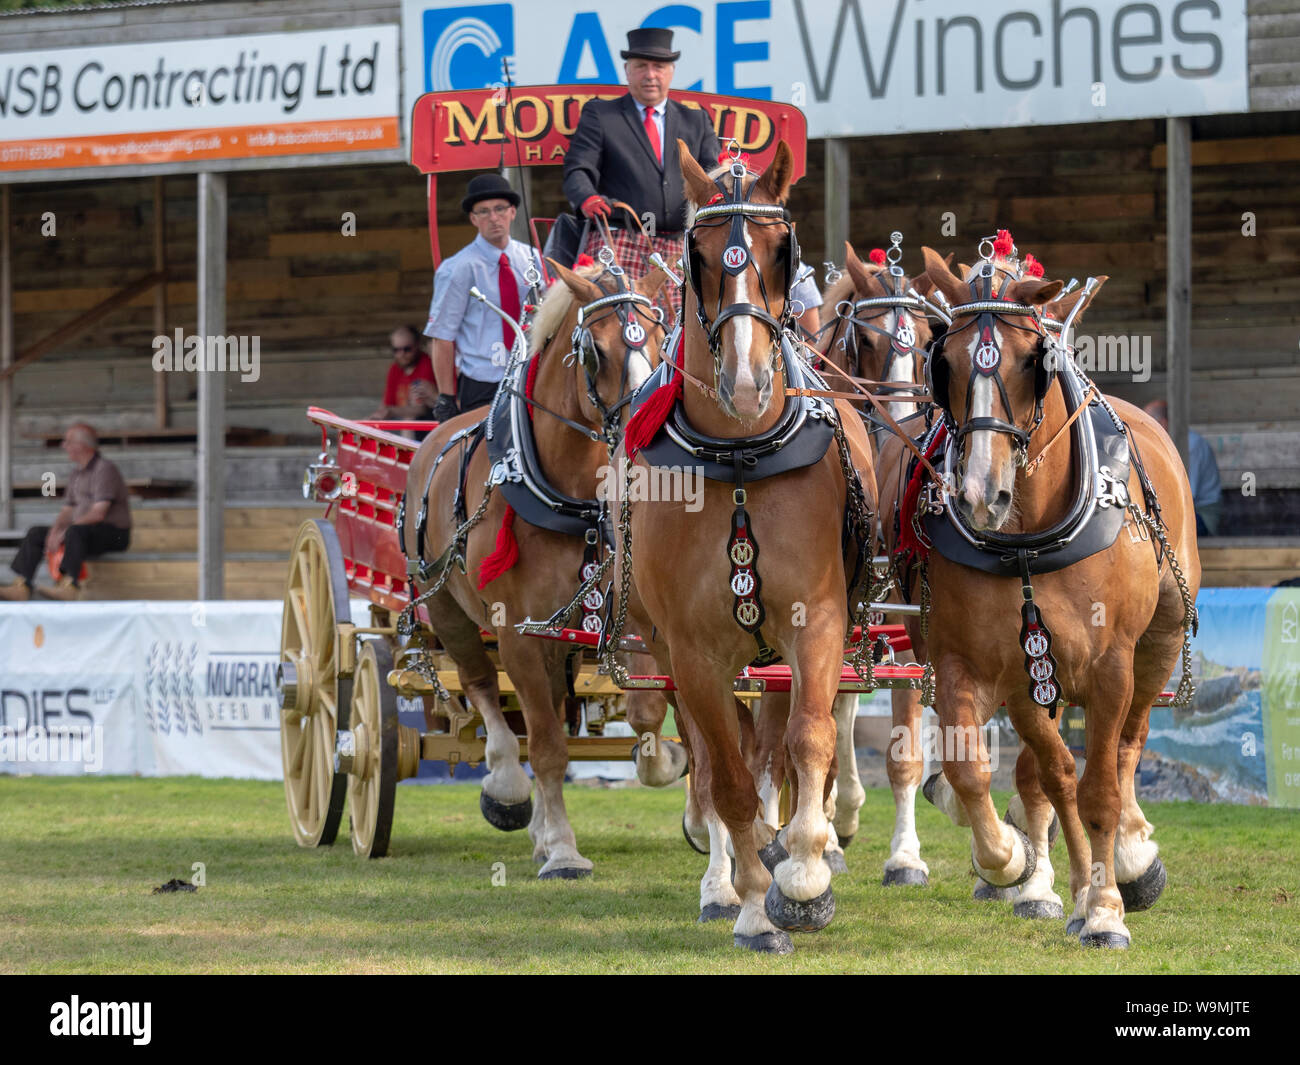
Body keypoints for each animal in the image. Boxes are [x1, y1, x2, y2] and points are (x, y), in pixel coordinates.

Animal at [400, 256, 676, 873]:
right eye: (596, 351)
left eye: (662, 340)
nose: (640, 434)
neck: (576, 500)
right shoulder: (520, 634)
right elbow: (547, 746)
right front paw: (565, 852)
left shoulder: (630, 620)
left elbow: (646, 711)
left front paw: (666, 763)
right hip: (450, 610)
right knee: (484, 690)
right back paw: (508, 791)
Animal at [616, 143, 878, 957]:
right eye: (697, 256)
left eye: (779, 249)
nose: (745, 379)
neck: (737, 457)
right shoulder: (693, 651)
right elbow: (725, 778)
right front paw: (759, 905)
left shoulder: (817, 620)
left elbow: (810, 740)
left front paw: (805, 873)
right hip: (676, 650)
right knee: (714, 756)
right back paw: (725, 878)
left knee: (775, 744)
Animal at [878, 243, 1201, 951]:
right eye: (944, 361)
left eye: (1033, 359)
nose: (981, 494)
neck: (1027, 537)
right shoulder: (989, 665)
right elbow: (1002, 774)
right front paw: (1014, 863)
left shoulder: (1110, 666)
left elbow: (1102, 787)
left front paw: (1106, 907)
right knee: (1049, 775)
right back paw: (1070, 881)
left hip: (1158, 639)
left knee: (1130, 743)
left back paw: (1129, 856)